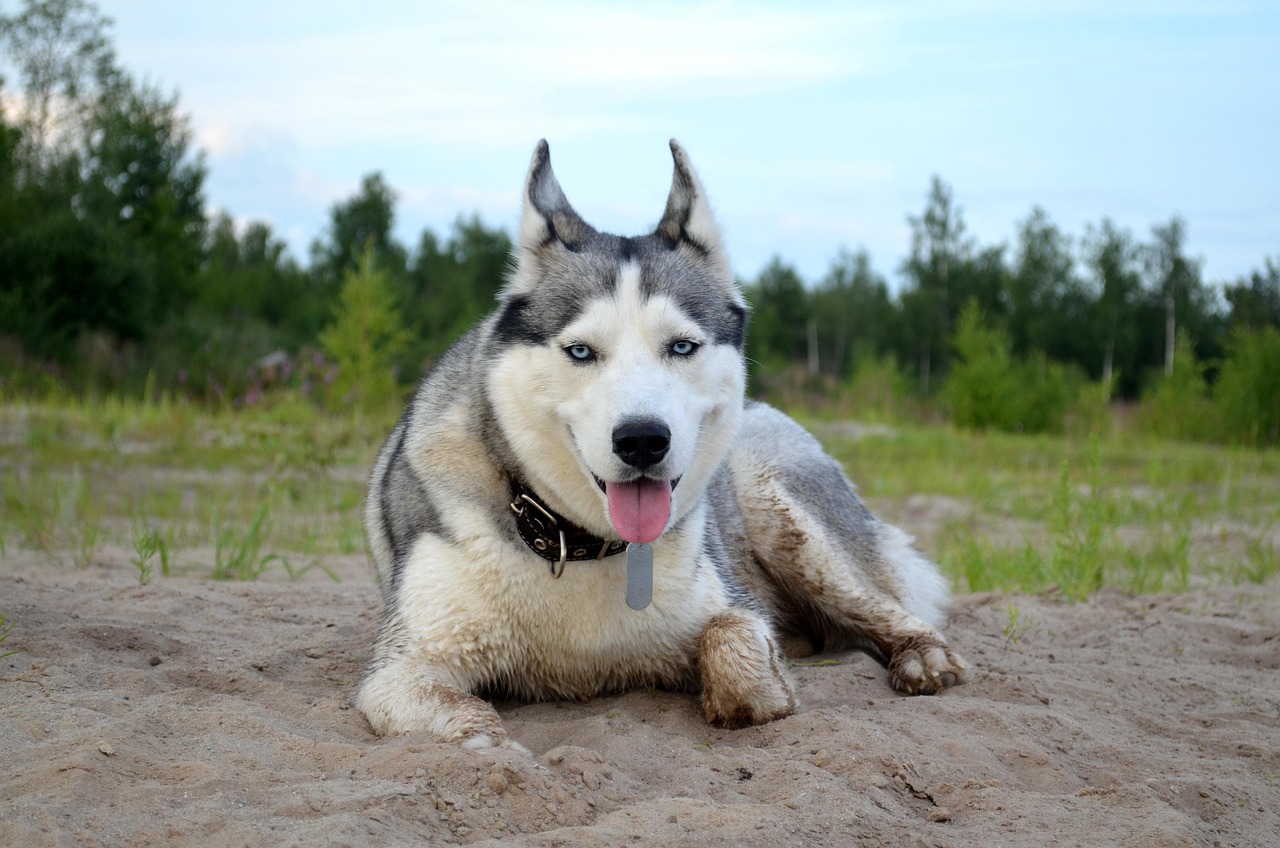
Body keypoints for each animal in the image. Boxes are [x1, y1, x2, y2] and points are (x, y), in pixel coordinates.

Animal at [355, 139, 962, 753]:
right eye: (580, 351)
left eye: (682, 346)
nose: (642, 439)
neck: (578, 544)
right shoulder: (401, 669)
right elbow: (475, 736)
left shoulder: (731, 605)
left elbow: (735, 646)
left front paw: (757, 690)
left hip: (785, 518)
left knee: (889, 607)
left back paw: (923, 657)